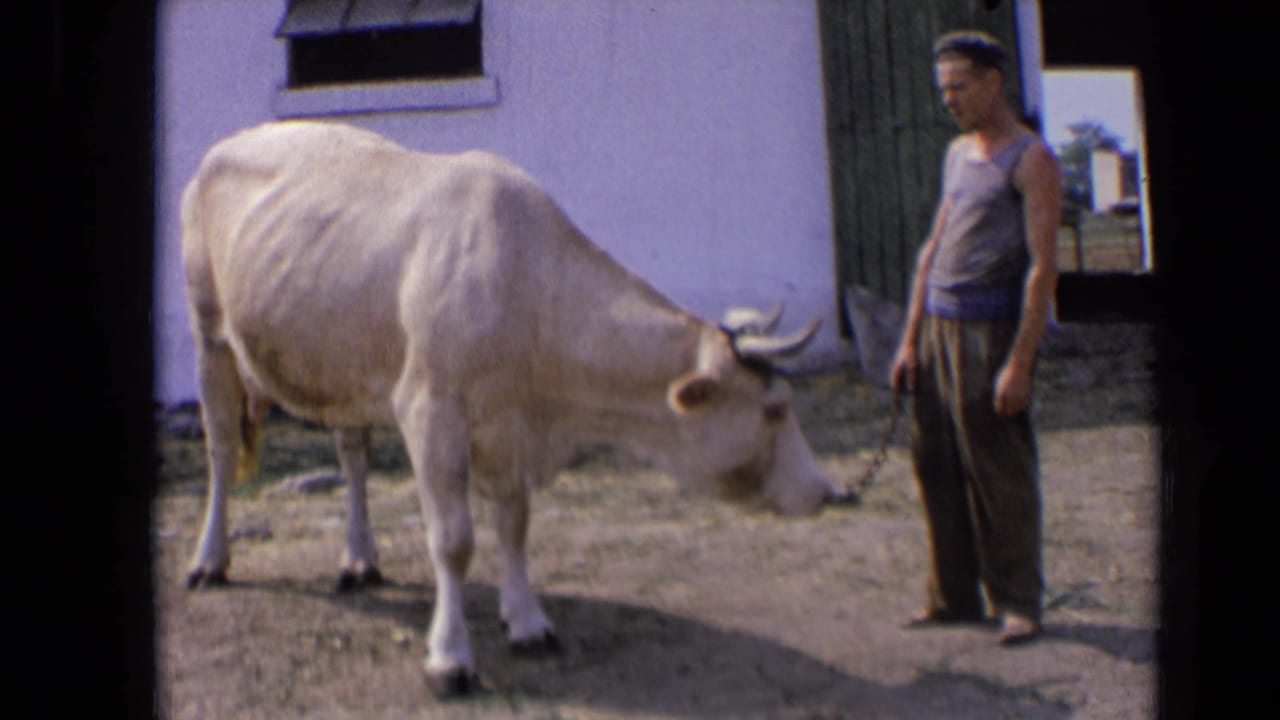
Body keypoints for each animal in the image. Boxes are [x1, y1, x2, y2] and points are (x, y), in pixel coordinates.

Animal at [180, 120, 840, 696]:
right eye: (774, 409)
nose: (825, 491)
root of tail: (236, 140)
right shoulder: (431, 410)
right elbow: (453, 540)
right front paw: (450, 658)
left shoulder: (509, 423)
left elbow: (515, 524)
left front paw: (526, 621)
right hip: (210, 331)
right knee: (220, 448)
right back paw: (210, 560)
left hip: (342, 359)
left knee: (353, 452)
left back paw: (360, 559)